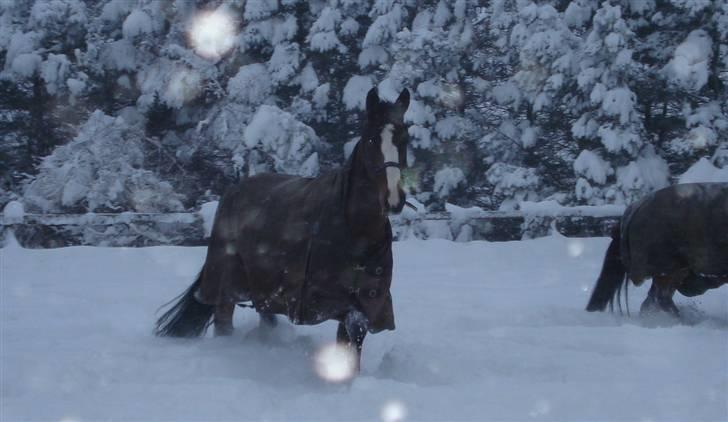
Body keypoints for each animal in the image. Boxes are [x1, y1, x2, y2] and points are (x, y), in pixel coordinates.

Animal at [154, 87, 410, 370]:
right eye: (372, 140)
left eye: (404, 140)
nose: (393, 200)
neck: (356, 232)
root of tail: (233, 189)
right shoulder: (334, 302)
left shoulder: (367, 301)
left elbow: (351, 344)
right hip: (226, 283)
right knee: (223, 322)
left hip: (263, 289)